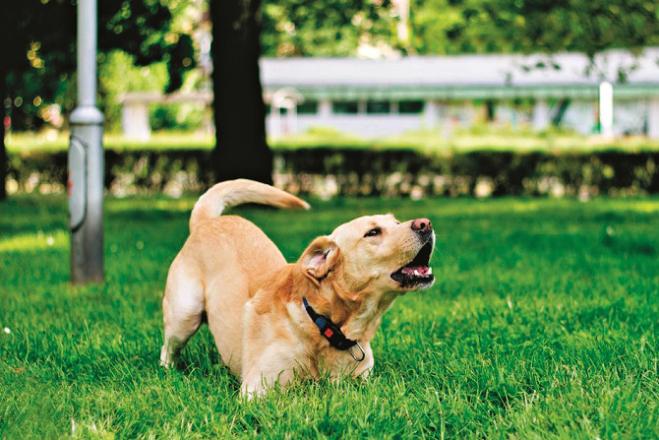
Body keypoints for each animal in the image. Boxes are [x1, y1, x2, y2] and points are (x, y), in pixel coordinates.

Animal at [162, 179, 436, 398]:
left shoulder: (363, 382)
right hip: (185, 314)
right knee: (168, 349)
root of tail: (207, 222)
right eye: (373, 232)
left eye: (396, 222)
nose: (425, 223)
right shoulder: (256, 390)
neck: (322, 321)